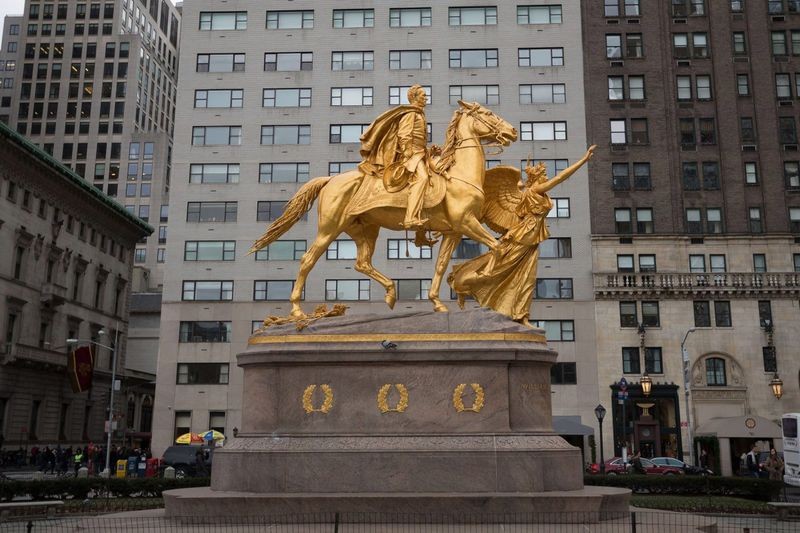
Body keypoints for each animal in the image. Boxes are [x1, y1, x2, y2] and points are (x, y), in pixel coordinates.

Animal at [253, 101, 520, 316]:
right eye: (488, 113)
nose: (513, 131)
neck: (458, 175)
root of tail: (330, 180)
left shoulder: (453, 231)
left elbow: (441, 265)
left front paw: (438, 302)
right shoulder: (466, 222)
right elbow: (497, 247)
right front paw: (485, 277)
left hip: (364, 229)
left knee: (362, 263)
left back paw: (391, 293)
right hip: (330, 227)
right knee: (307, 259)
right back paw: (297, 311)